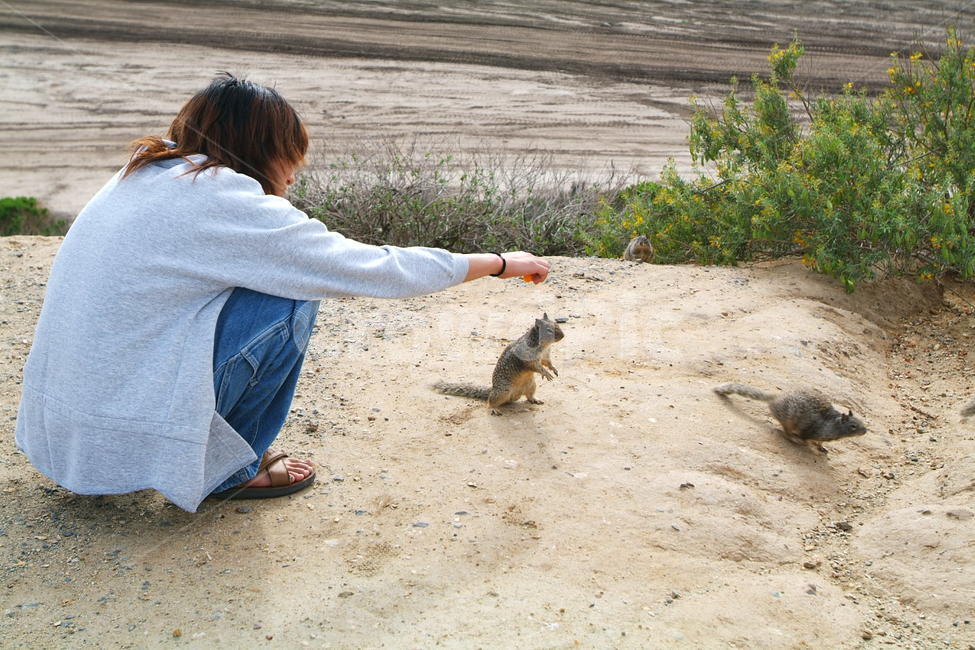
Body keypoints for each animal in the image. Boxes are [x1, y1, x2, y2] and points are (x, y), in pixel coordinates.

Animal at [434, 313, 564, 415]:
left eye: (557, 324)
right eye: (549, 330)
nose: (563, 336)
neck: (543, 345)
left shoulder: (545, 355)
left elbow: (546, 362)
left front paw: (553, 369)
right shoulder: (527, 357)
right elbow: (534, 366)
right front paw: (546, 373)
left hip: (531, 385)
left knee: (529, 396)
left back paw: (535, 399)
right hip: (502, 392)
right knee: (490, 402)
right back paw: (494, 409)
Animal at [713, 382, 866, 449]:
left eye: (861, 421)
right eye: (853, 426)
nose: (865, 431)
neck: (834, 425)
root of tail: (775, 397)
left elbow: (820, 443)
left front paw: (822, 448)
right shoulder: (813, 431)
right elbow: (807, 438)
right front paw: (807, 444)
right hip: (789, 420)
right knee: (785, 431)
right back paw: (794, 438)